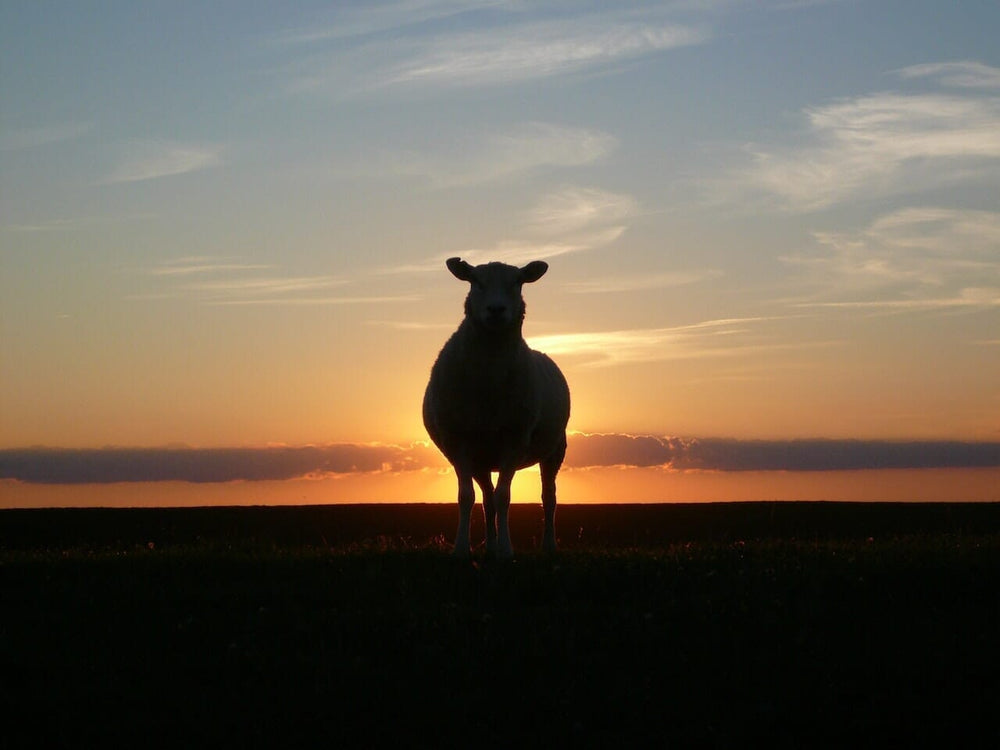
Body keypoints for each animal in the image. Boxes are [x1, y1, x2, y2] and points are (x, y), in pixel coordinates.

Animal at [422, 258, 572, 560]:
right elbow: (466, 497)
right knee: (487, 499)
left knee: (548, 497)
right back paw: (489, 546)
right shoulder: (459, 441)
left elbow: (505, 497)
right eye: (476, 281)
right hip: (481, 458)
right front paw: (461, 549)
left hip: (555, 450)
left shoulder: (514, 438)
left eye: (518, 282)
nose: (496, 310)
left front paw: (505, 550)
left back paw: (548, 545)